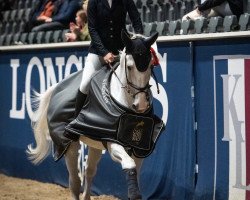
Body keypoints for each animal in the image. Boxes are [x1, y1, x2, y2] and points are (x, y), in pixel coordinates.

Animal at [26, 30, 163, 200]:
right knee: (75, 181)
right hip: (69, 145)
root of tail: (57, 87)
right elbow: (129, 164)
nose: (141, 104)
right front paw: (134, 194)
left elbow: (135, 171)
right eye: (130, 67)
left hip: (95, 144)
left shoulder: (138, 148)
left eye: (150, 66)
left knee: (89, 172)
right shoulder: (112, 143)